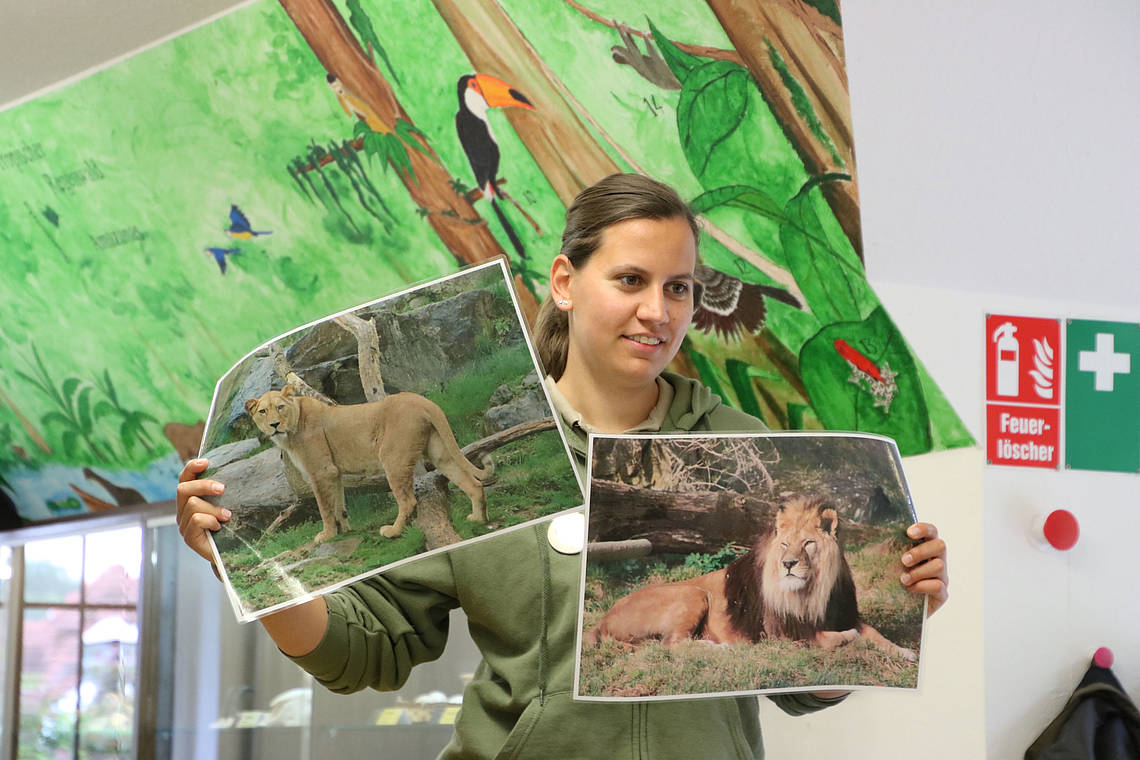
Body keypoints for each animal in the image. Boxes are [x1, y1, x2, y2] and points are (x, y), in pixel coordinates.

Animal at [245, 389, 490, 544]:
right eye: (262, 411)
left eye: (280, 407)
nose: (274, 425)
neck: (291, 431)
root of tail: (423, 401)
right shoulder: (334, 473)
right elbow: (339, 504)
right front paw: (344, 530)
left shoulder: (321, 472)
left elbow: (324, 507)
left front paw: (327, 535)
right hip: (440, 453)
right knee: (473, 484)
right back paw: (478, 519)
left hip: (392, 458)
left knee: (408, 500)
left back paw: (392, 531)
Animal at [588, 494, 916, 660]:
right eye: (784, 544)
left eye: (808, 543)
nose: (788, 563)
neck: (814, 591)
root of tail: (603, 619)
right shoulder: (780, 634)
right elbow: (829, 638)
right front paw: (849, 637)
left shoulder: (844, 613)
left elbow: (875, 633)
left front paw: (905, 651)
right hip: (692, 593)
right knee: (672, 644)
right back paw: (716, 648)